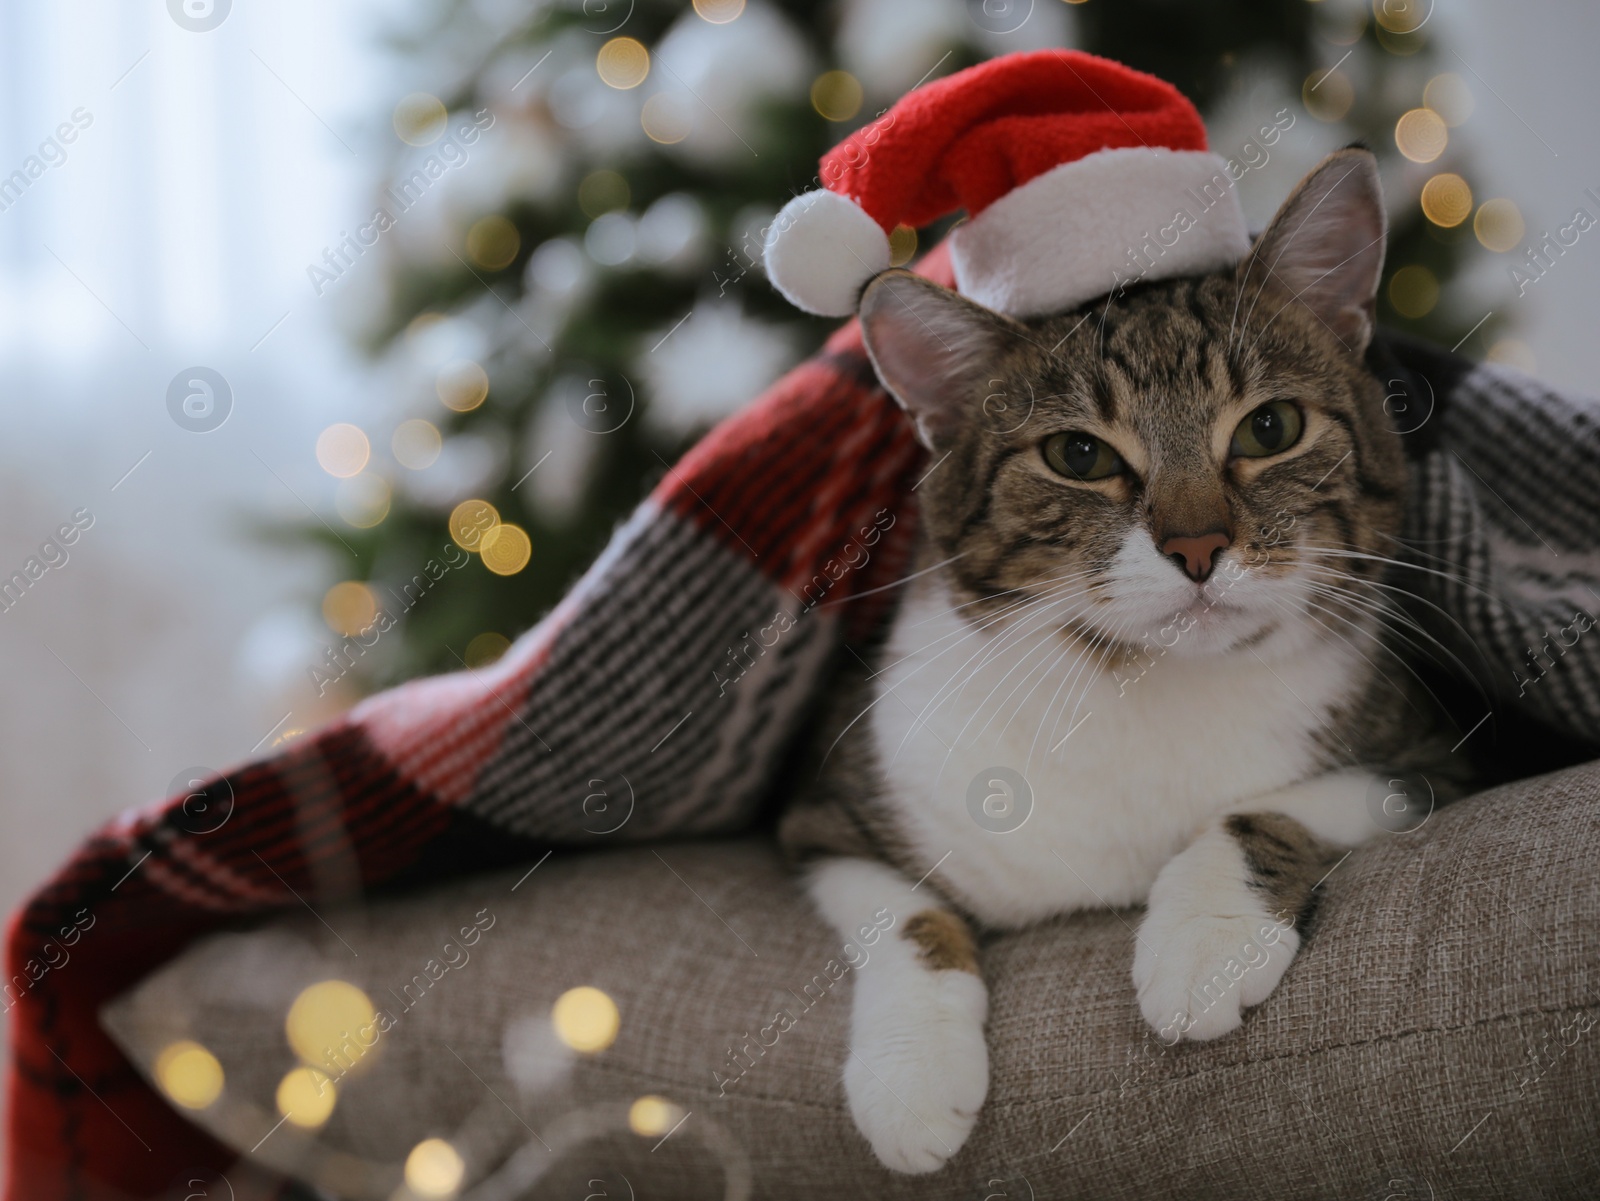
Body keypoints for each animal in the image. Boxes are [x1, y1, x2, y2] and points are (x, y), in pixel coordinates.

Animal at [780, 150, 1465, 1177]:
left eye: (1271, 429)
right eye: (1078, 453)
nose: (1198, 546)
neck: (1138, 681)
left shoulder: (1435, 756)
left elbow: (1273, 806)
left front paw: (1204, 935)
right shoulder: (830, 807)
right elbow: (897, 912)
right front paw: (910, 1074)